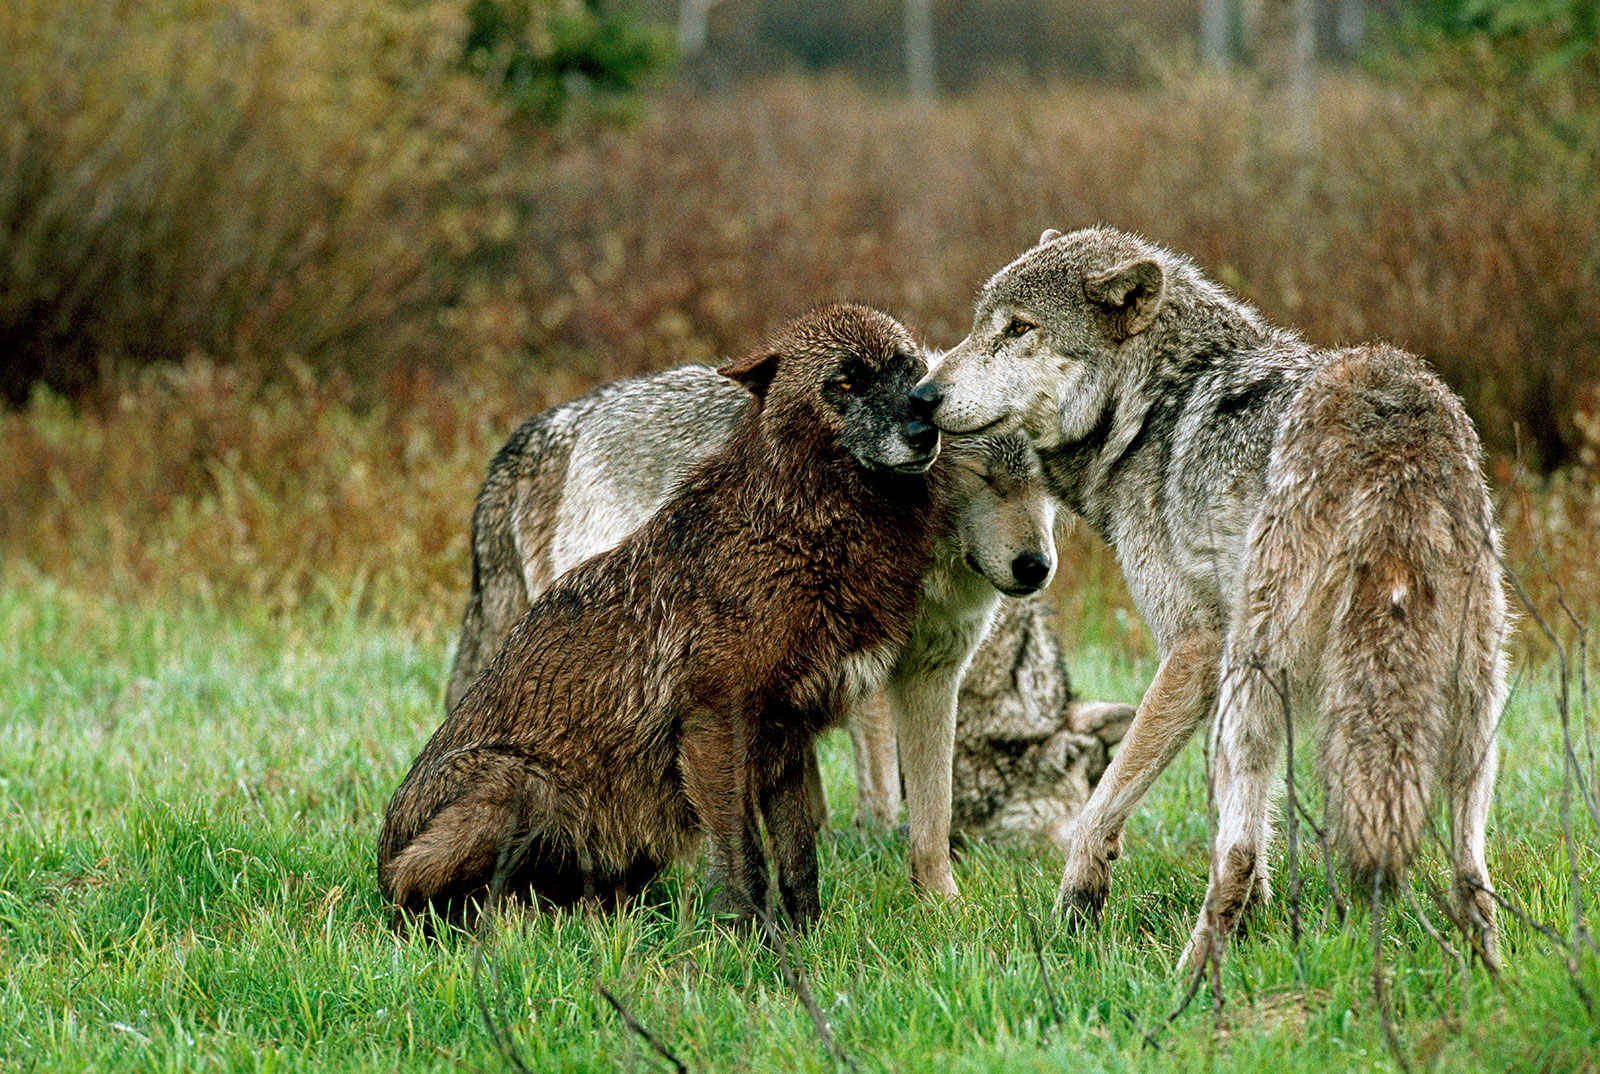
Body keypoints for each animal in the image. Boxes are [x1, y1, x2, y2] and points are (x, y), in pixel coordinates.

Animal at [374, 307, 947, 928]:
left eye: (910, 373)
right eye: (843, 384)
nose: (924, 431)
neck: (795, 532)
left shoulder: (787, 740)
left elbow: (799, 862)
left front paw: (807, 937)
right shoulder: (715, 727)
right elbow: (746, 859)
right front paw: (753, 944)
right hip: (522, 785)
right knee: (428, 902)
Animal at [438, 369, 1139, 896]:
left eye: (1046, 486)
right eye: (983, 478)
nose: (1036, 567)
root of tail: (552, 425)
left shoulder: (921, 673)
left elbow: (923, 818)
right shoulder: (859, 679)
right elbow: (881, 793)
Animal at [921, 227, 1504, 966]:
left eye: (1018, 329)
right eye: (978, 325)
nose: (920, 394)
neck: (1152, 409)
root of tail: (1391, 432)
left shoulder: (1193, 650)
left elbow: (1102, 808)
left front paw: (1078, 904)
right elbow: (1254, 828)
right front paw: (1259, 921)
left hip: (1252, 676)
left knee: (1234, 854)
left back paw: (1185, 980)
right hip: (1472, 707)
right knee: (1471, 874)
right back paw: (1494, 975)